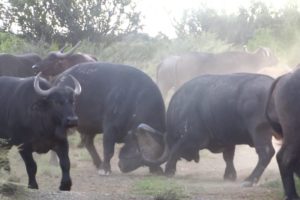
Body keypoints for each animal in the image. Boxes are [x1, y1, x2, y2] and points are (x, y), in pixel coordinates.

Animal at [137, 72, 276, 187]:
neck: (181, 107)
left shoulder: (192, 138)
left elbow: (175, 150)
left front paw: (169, 170)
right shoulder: (227, 139)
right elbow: (228, 157)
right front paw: (229, 175)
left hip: (259, 132)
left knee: (266, 153)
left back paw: (250, 180)